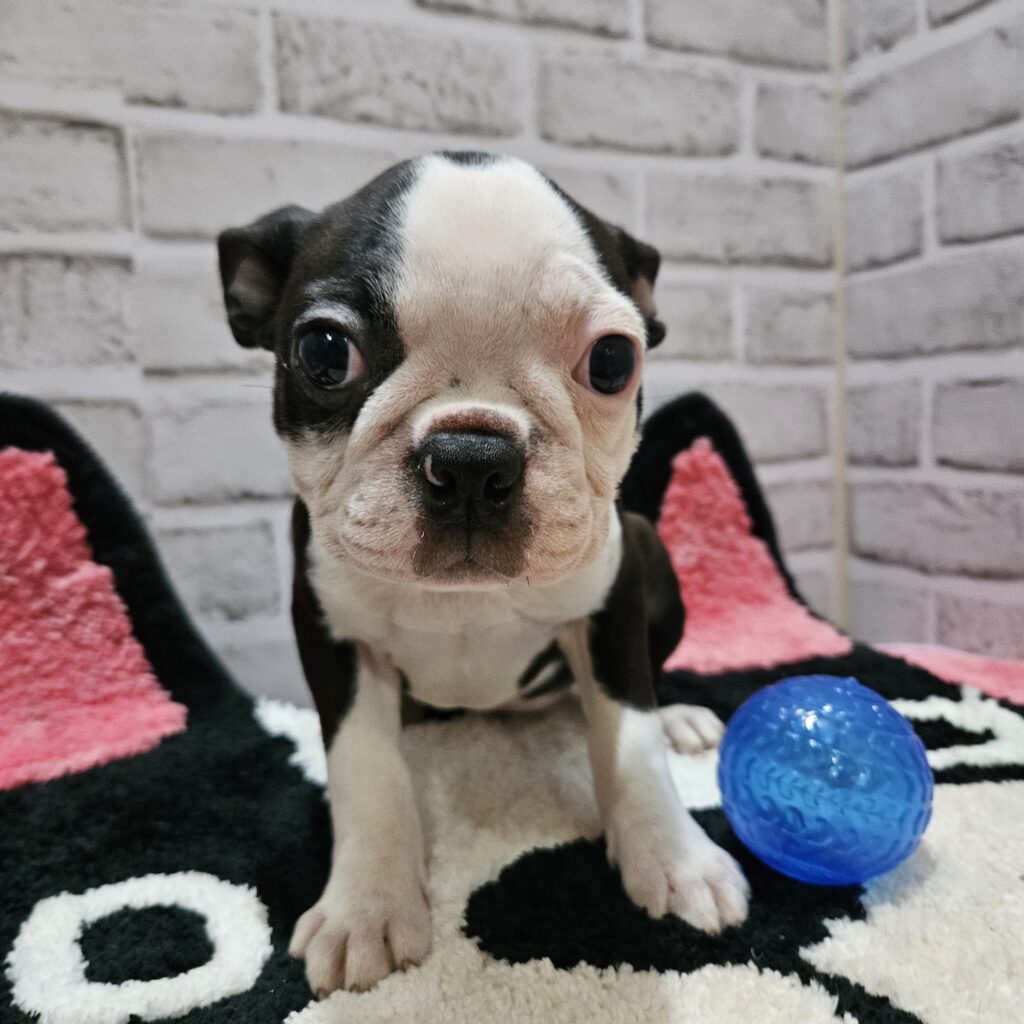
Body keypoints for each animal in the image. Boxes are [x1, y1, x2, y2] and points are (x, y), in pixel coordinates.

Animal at [217, 152, 749, 997]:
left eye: (612, 361)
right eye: (326, 352)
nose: (471, 458)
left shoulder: (613, 599)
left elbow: (630, 740)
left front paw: (675, 861)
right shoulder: (331, 626)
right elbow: (366, 768)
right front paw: (368, 909)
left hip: (649, 549)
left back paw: (681, 716)